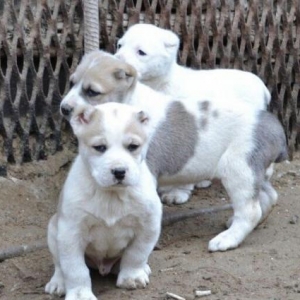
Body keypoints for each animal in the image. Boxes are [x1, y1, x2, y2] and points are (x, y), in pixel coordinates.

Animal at [45, 102, 162, 298]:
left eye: (133, 146)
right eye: (99, 147)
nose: (119, 171)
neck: (111, 195)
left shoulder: (149, 225)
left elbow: (136, 254)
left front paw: (132, 277)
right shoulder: (70, 233)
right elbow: (74, 268)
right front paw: (80, 295)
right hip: (53, 230)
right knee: (59, 265)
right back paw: (58, 283)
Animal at [59, 49, 288, 253]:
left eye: (92, 92)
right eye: (71, 83)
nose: (64, 108)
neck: (126, 106)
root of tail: (274, 126)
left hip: (239, 170)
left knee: (250, 210)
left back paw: (227, 239)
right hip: (253, 172)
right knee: (268, 197)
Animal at [115, 22, 272, 204]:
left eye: (141, 52)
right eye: (120, 45)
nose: (116, 61)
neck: (160, 83)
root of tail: (262, 86)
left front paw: (176, 193)